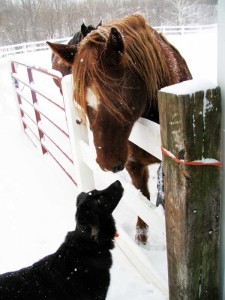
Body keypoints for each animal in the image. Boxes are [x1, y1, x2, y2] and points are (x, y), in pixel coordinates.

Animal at [47, 13, 192, 244]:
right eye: (81, 101)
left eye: (118, 102)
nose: (106, 164)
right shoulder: (134, 165)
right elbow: (143, 199)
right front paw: (141, 237)